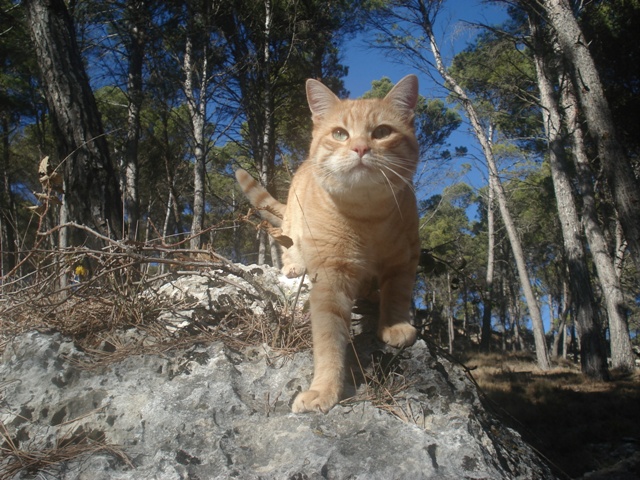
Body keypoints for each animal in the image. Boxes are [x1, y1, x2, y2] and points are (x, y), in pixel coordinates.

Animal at [235, 75, 420, 412]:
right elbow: (328, 341)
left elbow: (398, 294)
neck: (367, 216)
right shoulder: (330, 280)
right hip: (294, 228)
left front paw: (395, 324)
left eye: (382, 132)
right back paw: (294, 266)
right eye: (340, 134)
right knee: (288, 247)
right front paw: (325, 389)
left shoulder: (405, 257)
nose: (360, 147)